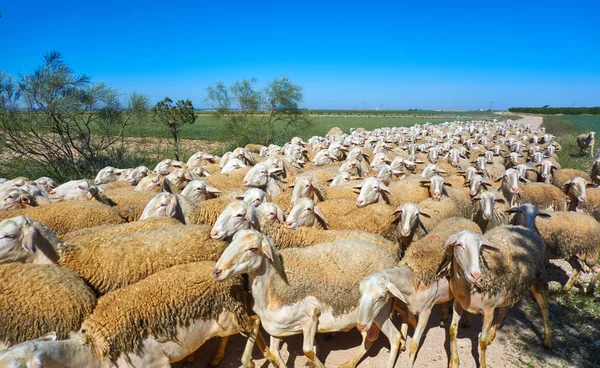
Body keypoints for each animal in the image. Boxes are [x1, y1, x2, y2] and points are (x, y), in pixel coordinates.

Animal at [0, 262, 262, 368]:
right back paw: (217, 358)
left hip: (232, 316)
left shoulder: (156, 364)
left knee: (255, 322)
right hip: (226, 319)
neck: (94, 351)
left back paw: (249, 360)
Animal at [213, 231, 400, 368]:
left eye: (253, 248)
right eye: (232, 240)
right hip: (364, 317)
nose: (216, 271)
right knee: (369, 338)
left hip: (380, 309)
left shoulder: (310, 318)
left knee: (395, 338)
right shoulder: (275, 327)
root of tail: (389, 257)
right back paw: (349, 363)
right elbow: (274, 353)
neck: (272, 286)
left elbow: (308, 351)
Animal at [356, 217, 482, 366]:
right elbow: (408, 321)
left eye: (381, 296)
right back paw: (444, 315)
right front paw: (404, 342)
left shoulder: (425, 312)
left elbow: (414, 344)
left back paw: (466, 322)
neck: (413, 277)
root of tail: (468, 220)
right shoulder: (407, 306)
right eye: (360, 293)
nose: (360, 326)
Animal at [442, 227, 552, 368]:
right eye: (459, 245)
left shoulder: (489, 311)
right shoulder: (457, 303)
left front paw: (483, 364)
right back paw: (491, 335)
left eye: (480, 247)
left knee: (544, 307)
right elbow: (452, 330)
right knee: (504, 309)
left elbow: (482, 341)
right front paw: (454, 361)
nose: (475, 274)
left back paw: (547, 340)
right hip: (510, 289)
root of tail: (528, 229)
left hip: (538, 277)